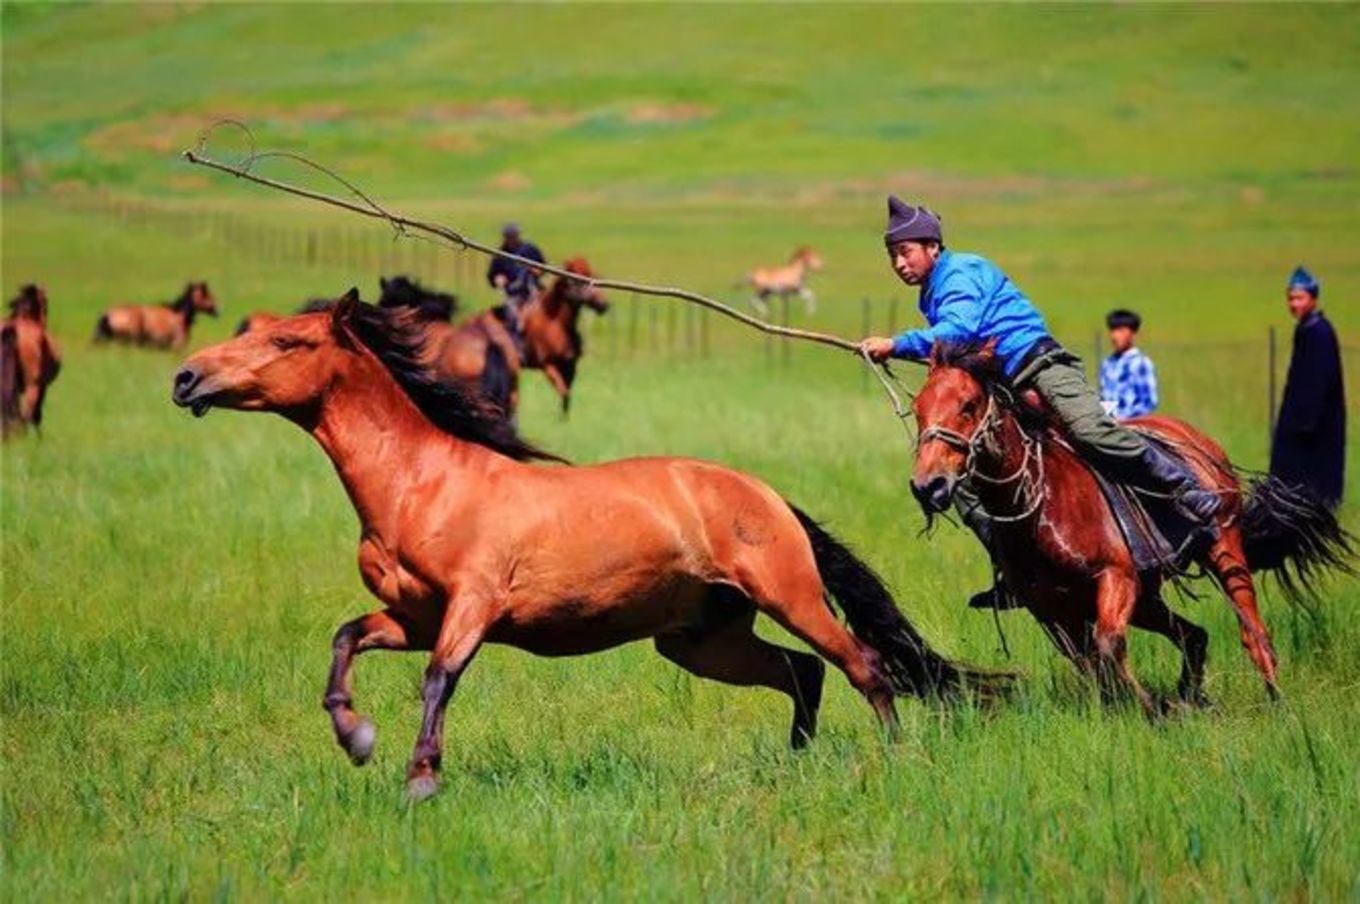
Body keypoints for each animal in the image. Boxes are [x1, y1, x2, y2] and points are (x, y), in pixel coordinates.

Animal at [170, 292, 1011, 799]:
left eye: (286, 340)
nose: (185, 379)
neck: (421, 484)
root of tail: (768, 496)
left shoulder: (471, 607)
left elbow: (440, 680)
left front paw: (419, 777)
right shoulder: (411, 617)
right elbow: (346, 640)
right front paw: (355, 737)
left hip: (789, 597)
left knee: (863, 666)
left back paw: (895, 760)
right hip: (700, 640)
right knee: (801, 673)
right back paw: (795, 762)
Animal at [516, 251, 609, 410]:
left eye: (591, 274)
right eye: (577, 279)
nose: (604, 304)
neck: (555, 324)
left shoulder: (570, 367)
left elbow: (566, 399)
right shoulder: (547, 366)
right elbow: (563, 392)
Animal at [908, 342, 1354, 717]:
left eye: (968, 405)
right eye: (918, 408)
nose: (928, 485)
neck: (1038, 500)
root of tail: (1199, 440)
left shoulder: (1115, 577)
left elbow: (1108, 647)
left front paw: (1150, 707)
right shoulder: (1050, 609)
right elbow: (1088, 661)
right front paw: (1136, 707)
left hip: (1223, 552)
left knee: (1252, 630)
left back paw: (1274, 700)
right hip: (1148, 597)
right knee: (1193, 635)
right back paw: (1191, 698)